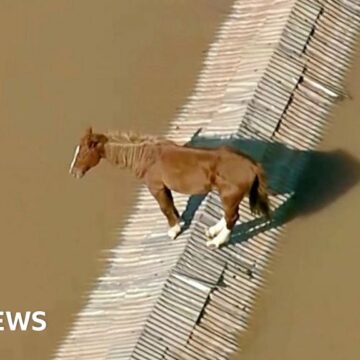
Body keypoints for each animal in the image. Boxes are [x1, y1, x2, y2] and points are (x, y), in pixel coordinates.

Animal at [69, 128, 270, 249]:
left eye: (83, 153)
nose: (73, 172)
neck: (146, 156)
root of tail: (253, 166)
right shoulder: (164, 187)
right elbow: (171, 204)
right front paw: (179, 222)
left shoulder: (156, 187)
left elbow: (164, 208)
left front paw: (174, 230)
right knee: (230, 215)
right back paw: (212, 231)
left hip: (229, 195)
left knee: (232, 217)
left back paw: (216, 242)